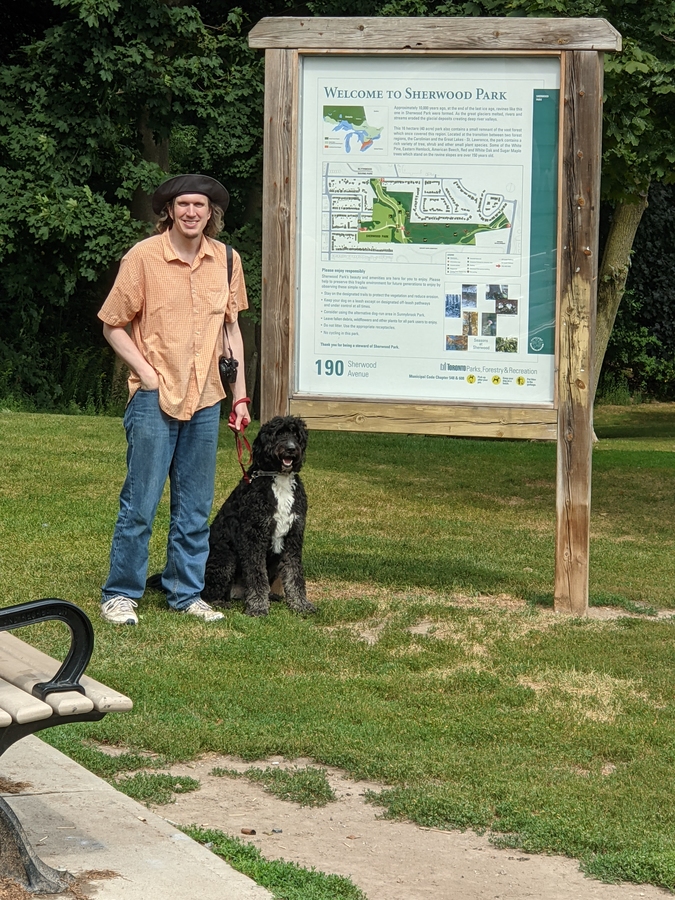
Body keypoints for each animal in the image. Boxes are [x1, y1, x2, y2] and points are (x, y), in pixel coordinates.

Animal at [201, 416, 316, 620]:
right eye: (278, 433)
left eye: (296, 434)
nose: (291, 448)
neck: (278, 477)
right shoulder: (254, 536)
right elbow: (257, 576)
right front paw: (258, 607)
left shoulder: (293, 537)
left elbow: (294, 574)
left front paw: (301, 604)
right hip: (225, 558)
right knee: (209, 592)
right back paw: (221, 603)